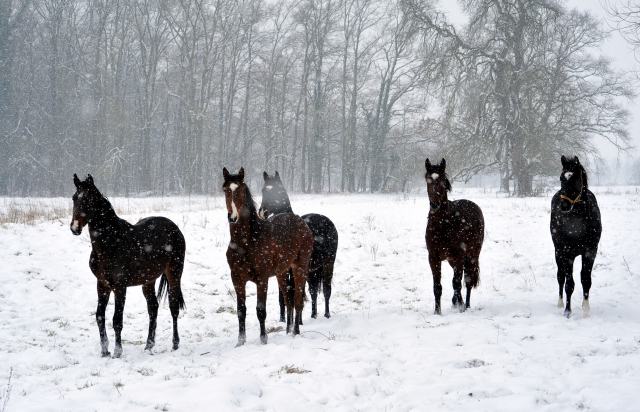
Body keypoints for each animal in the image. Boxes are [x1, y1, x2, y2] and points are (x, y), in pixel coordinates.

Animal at [70, 174, 185, 358]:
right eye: (74, 198)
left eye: (89, 199)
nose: (75, 227)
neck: (111, 243)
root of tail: (174, 228)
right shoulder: (102, 285)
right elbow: (100, 316)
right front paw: (105, 351)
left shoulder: (120, 286)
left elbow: (117, 319)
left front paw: (117, 352)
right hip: (149, 280)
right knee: (153, 308)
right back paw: (149, 345)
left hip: (174, 273)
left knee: (173, 307)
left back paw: (175, 344)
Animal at [222, 167, 316, 344]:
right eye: (225, 189)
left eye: (241, 190)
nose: (233, 217)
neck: (247, 241)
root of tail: (301, 222)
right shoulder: (236, 278)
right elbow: (241, 310)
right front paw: (240, 342)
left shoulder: (262, 279)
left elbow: (260, 310)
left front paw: (263, 339)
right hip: (282, 272)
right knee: (288, 300)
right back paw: (288, 331)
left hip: (299, 267)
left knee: (297, 300)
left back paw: (295, 331)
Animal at [258, 172, 340, 320]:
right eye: (263, 190)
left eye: (278, 191)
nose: (263, 212)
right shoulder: (283, 271)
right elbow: (283, 297)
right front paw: (283, 319)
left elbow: (295, 294)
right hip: (312, 270)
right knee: (313, 292)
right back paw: (313, 315)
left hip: (329, 262)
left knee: (326, 290)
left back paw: (326, 314)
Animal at [424, 159, 484, 314]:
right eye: (427, 179)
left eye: (442, 180)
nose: (434, 203)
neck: (443, 225)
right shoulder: (433, 257)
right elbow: (437, 287)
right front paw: (437, 312)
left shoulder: (459, 255)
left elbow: (456, 283)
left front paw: (462, 308)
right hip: (453, 260)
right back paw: (457, 301)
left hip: (472, 255)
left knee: (467, 280)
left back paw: (466, 305)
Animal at [548, 156, 604, 318]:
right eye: (561, 178)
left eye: (575, 178)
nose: (564, 205)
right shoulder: (567, 253)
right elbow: (569, 284)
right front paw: (567, 311)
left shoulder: (590, 251)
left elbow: (586, 280)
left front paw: (585, 310)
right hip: (558, 252)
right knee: (560, 277)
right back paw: (560, 304)